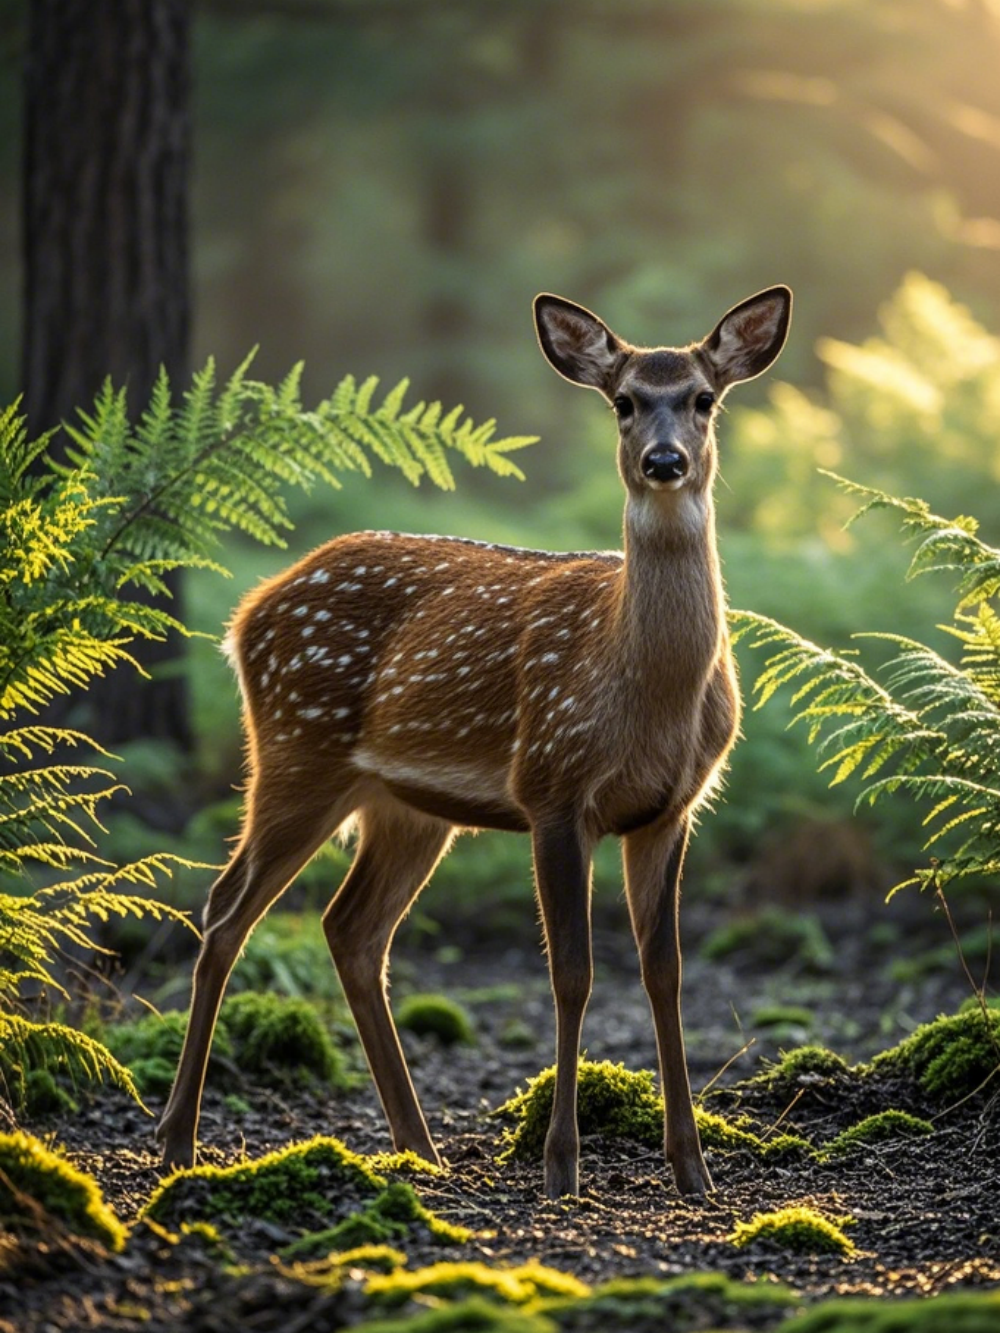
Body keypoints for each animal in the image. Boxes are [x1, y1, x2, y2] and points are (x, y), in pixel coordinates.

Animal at [156, 285, 792, 1199]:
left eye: (705, 399)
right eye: (624, 401)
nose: (665, 461)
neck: (642, 687)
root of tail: (245, 615)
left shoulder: (672, 809)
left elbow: (665, 971)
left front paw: (693, 1167)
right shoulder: (553, 787)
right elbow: (571, 971)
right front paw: (561, 1163)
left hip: (406, 806)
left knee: (351, 928)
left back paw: (419, 1146)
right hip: (294, 752)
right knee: (225, 909)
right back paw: (177, 1138)